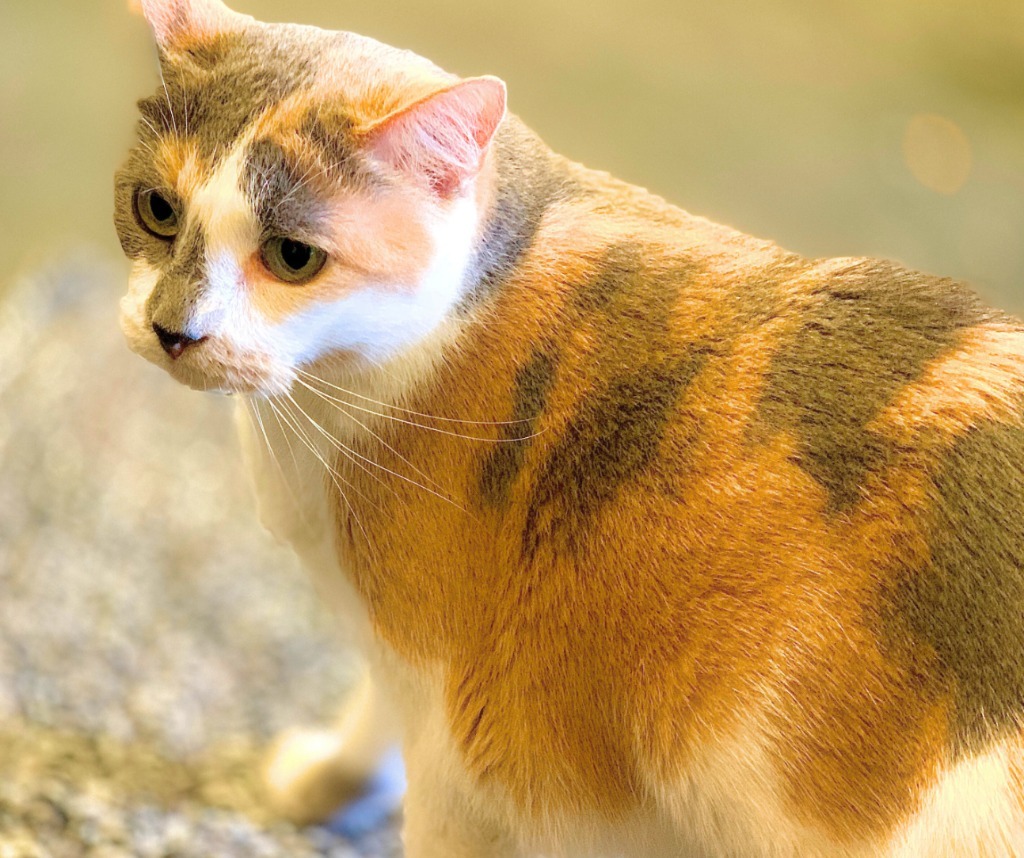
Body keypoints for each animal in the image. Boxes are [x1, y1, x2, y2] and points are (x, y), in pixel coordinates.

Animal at [116, 1, 1024, 858]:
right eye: (156, 209)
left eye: (293, 257)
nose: (173, 329)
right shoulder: (412, 677)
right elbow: (372, 709)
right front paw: (331, 780)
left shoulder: (463, 733)